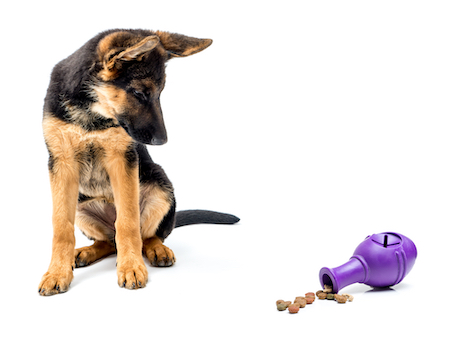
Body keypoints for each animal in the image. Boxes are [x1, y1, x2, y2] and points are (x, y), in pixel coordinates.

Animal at [38, 30, 239, 298]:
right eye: (139, 93)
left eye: (160, 93)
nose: (162, 141)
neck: (91, 113)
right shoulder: (62, 163)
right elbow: (61, 227)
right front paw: (57, 272)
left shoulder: (123, 159)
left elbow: (128, 222)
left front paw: (131, 267)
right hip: (80, 204)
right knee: (108, 241)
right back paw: (86, 252)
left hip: (161, 184)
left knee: (147, 235)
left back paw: (156, 250)